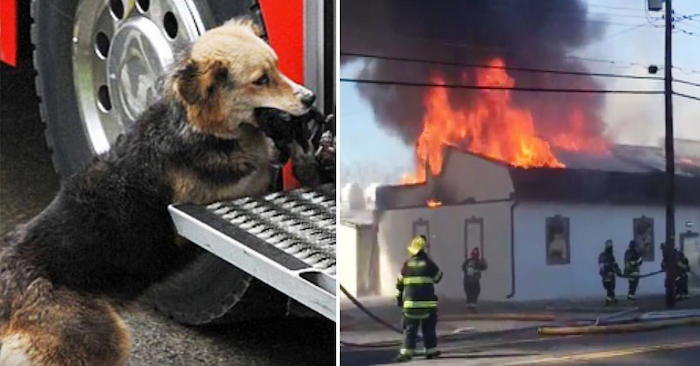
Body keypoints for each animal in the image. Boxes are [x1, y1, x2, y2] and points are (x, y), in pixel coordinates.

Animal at [0, 20, 322, 366]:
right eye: (261, 80)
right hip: (102, 338)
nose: (311, 98)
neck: (195, 126)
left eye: (277, 67)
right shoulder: (211, 197)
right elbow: (262, 168)